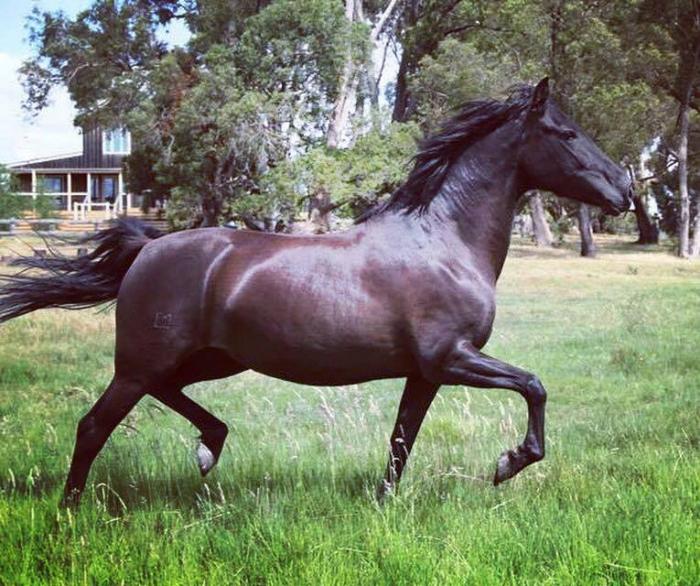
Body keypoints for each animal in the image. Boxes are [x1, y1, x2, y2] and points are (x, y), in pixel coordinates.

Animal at [0, 79, 632, 505]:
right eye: (566, 133)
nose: (625, 188)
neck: (444, 241)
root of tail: (148, 250)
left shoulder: (425, 373)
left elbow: (401, 441)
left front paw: (383, 506)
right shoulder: (451, 358)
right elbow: (534, 386)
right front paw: (508, 463)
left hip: (211, 360)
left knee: (167, 394)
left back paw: (209, 446)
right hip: (142, 363)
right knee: (93, 426)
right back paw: (72, 510)